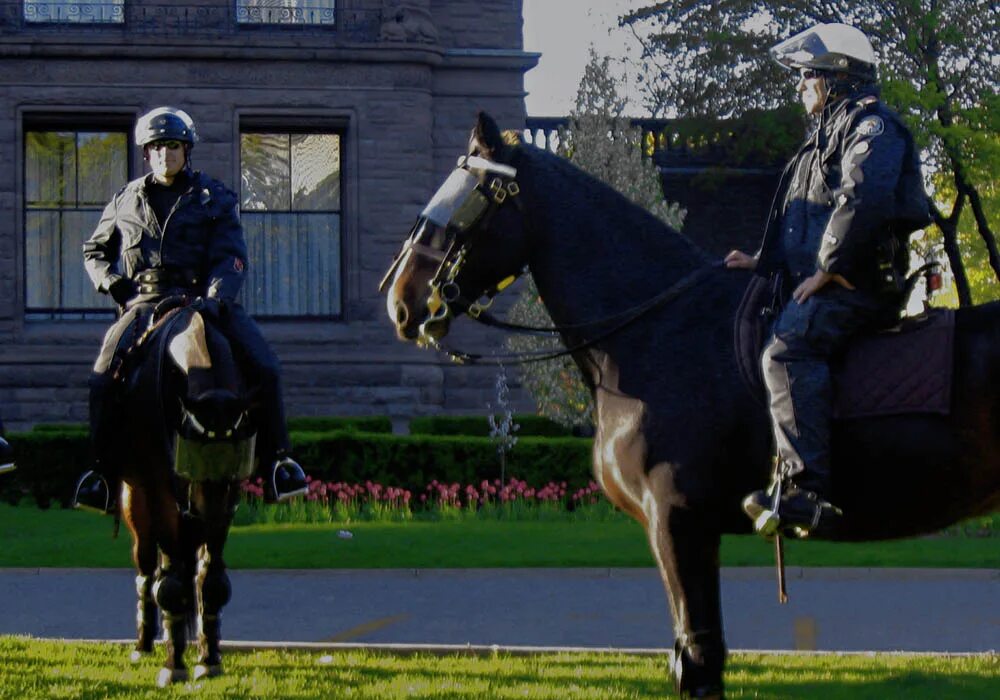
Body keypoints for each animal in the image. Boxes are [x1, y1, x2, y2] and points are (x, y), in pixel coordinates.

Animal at [109, 298, 256, 688]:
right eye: (191, 452)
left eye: (236, 453)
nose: (204, 519)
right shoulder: (162, 490)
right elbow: (172, 583)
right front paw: (174, 664)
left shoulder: (226, 500)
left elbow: (211, 579)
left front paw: (210, 658)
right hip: (136, 498)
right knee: (147, 565)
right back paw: (144, 643)